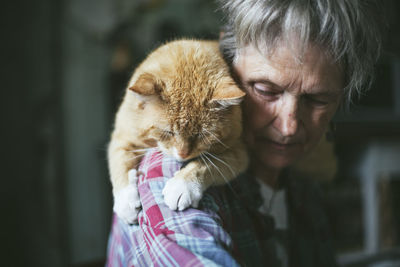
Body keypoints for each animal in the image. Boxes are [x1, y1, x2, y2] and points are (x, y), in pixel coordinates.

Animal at [108, 39, 248, 224]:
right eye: (168, 132)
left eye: (202, 135)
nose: (183, 155)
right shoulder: (122, 136)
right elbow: (119, 162)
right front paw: (125, 203)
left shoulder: (239, 151)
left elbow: (206, 164)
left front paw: (182, 187)